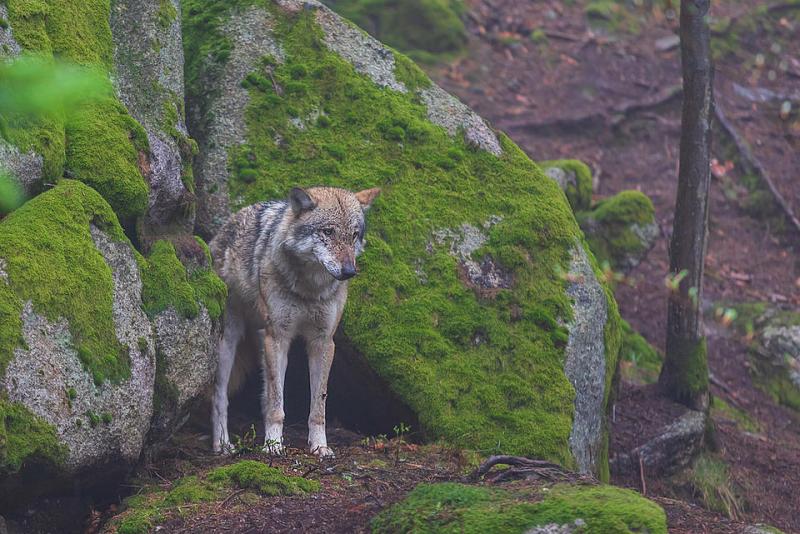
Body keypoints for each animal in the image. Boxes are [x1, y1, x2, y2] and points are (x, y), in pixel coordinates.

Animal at [209, 186, 381, 458]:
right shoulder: (279, 338)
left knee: (266, 395)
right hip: (230, 344)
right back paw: (223, 444)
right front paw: (272, 446)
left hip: (263, 341)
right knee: (220, 397)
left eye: (354, 235)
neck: (309, 289)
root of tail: (222, 229)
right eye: (328, 232)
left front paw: (320, 447)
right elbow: (277, 406)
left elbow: (318, 406)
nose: (349, 272)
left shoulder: (323, 342)